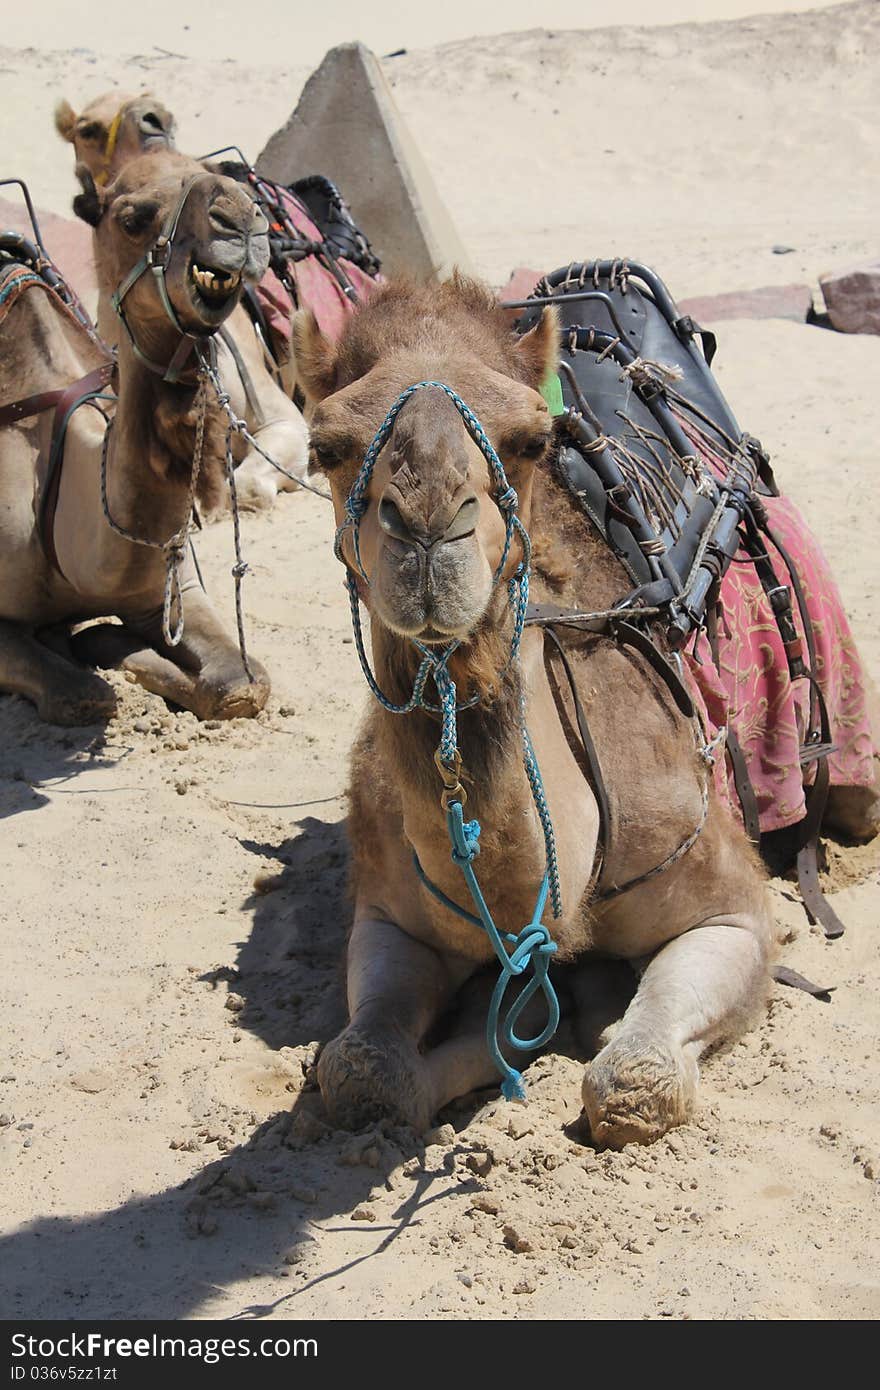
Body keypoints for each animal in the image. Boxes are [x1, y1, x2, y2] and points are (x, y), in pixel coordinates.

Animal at [0, 149, 271, 728]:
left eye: (212, 170)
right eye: (133, 218)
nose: (240, 215)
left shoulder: (171, 588)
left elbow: (240, 685)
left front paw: (105, 641)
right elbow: (78, 695)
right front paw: (92, 647)